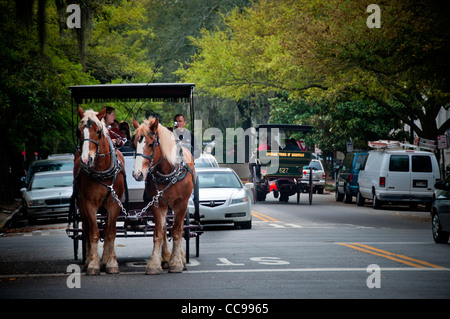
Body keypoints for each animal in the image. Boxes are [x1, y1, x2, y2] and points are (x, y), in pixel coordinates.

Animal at [74, 107, 125, 276]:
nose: (85, 159)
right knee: (86, 229)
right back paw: (89, 260)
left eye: (98, 131)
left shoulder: (114, 204)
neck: (102, 170)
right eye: (78, 132)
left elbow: (110, 232)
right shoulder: (89, 204)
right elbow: (94, 233)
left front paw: (111, 262)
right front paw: (93, 264)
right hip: (81, 204)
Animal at [130, 117, 193, 276]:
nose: (137, 174)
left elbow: (177, 231)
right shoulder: (157, 203)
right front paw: (154, 263)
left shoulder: (181, 204)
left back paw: (181, 259)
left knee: (179, 227)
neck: (168, 171)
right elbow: (158, 232)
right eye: (133, 144)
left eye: (151, 144)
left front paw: (176, 262)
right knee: (165, 228)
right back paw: (165, 258)